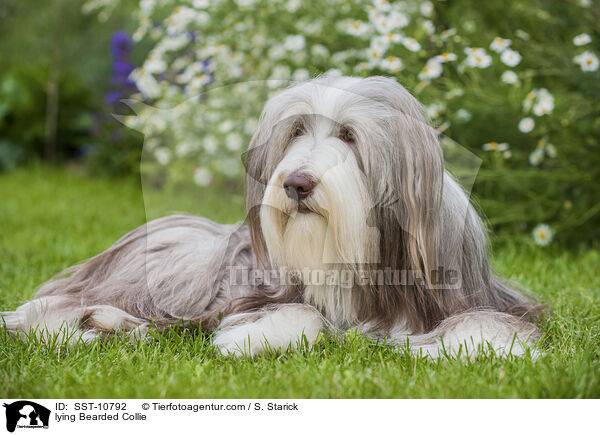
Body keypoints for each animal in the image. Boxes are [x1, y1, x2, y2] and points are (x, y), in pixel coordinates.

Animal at [0, 77, 540, 358]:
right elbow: (299, 313)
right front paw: (251, 336)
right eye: (297, 130)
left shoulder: (477, 295)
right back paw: (80, 324)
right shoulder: (253, 292)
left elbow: (489, 324)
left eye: (348, 135)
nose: (296, 183)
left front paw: (471, 346)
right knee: (52, 310)